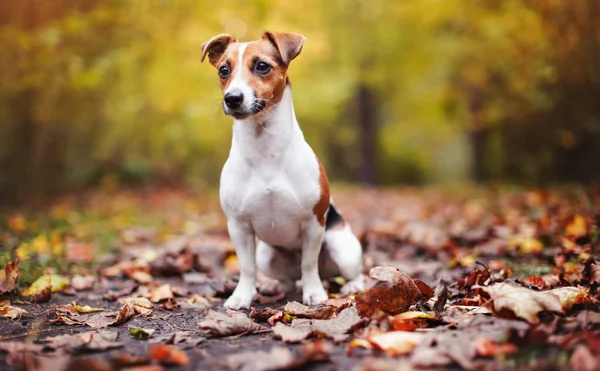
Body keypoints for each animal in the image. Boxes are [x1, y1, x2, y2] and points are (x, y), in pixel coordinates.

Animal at [202, 31, 364, 310]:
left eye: (262, 65)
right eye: (224, 70)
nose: (232, 98)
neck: (264, 147)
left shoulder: (313, 222)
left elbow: (309, 264)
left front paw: (314, 293)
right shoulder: (239, 226)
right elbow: (247, 268)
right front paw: (242, 296)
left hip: (342, 249)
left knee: (353, 272)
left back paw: (351, 286)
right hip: (267, 255)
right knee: (287, 278)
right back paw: (275, 286)